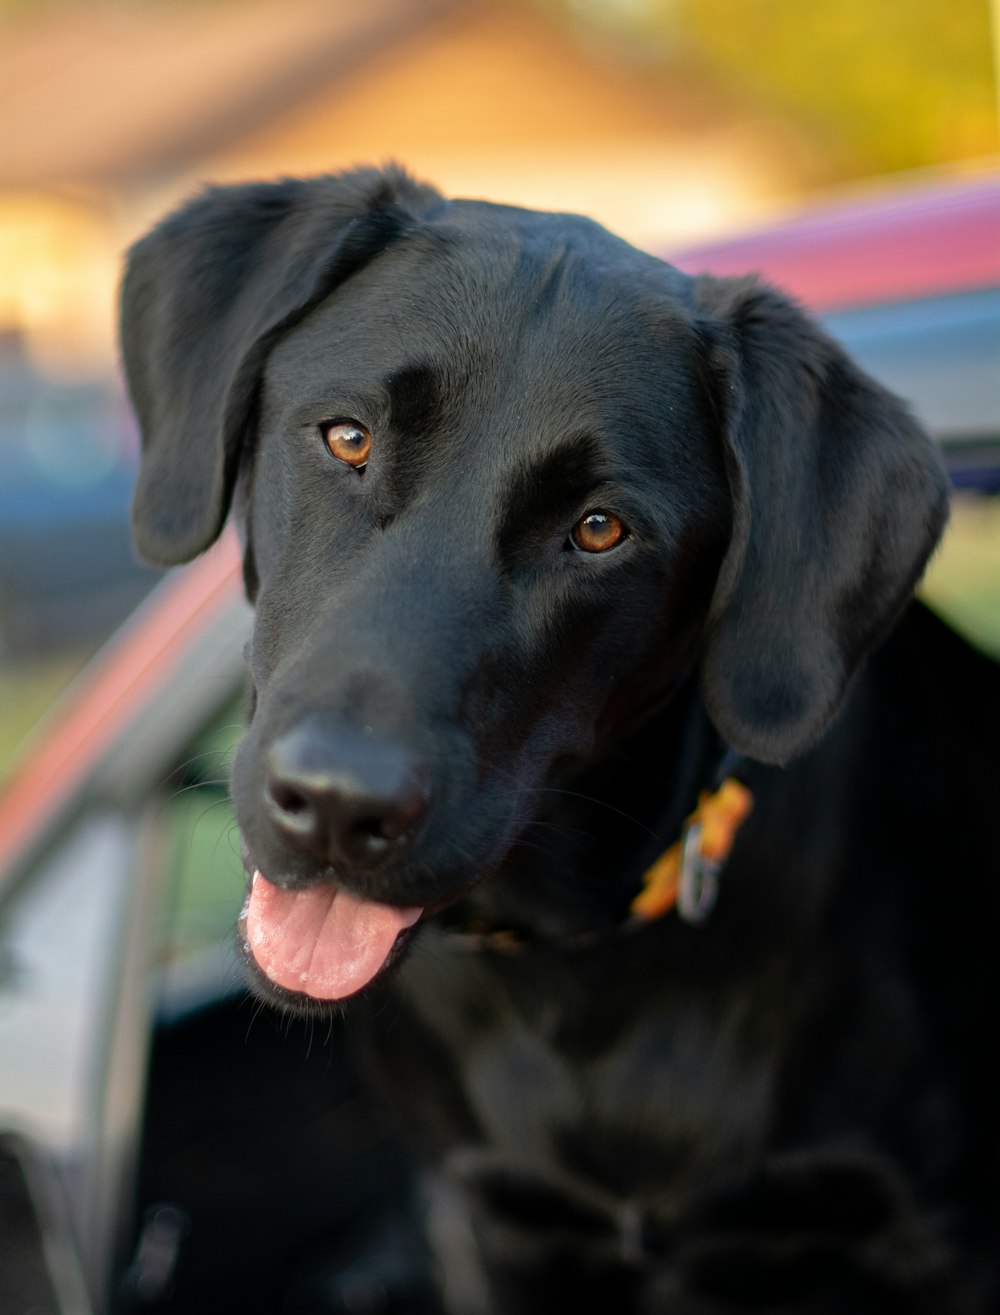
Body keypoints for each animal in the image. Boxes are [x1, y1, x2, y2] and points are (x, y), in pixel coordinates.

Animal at [119, 169, 1000, 1309]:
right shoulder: (490, 1219)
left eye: (598, 529)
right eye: (348, 438)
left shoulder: (934, 1234)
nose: (338, 805)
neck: (570, 980)